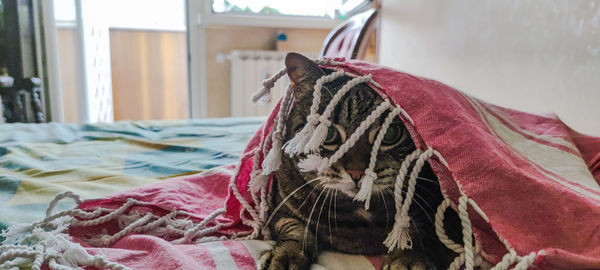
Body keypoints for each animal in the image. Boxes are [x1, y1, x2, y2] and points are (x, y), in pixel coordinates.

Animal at [260, 52, 462, 270]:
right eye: (328, 133)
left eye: (390, 133)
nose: (357, 173)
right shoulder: (279, 207)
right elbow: (294, 227)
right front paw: (285, 254)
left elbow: (417, 232)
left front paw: (407, 259)